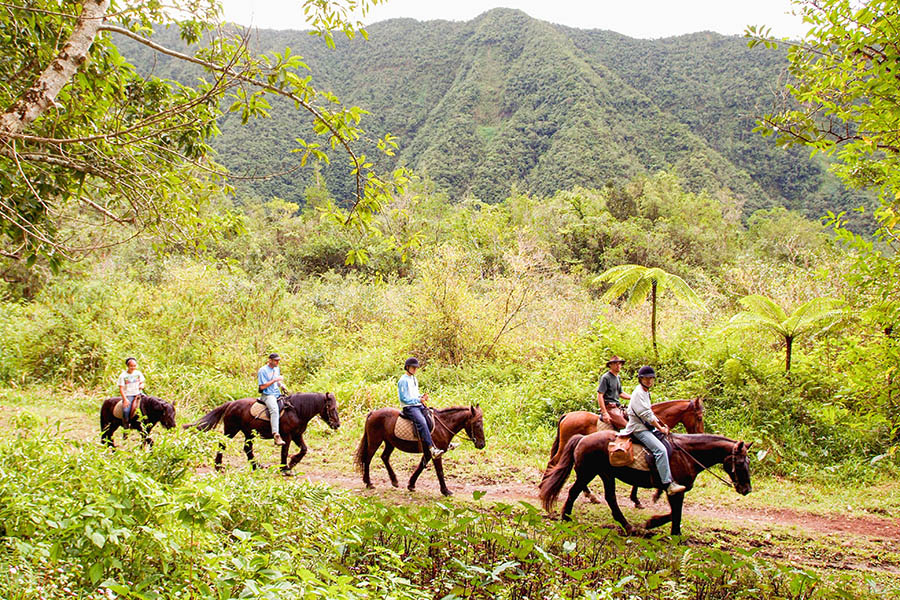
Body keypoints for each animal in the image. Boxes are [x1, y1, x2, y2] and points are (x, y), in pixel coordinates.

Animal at [189, 394, 342, 474]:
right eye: (331, 408)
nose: (337, 424)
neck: (297, 411)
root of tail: (231, 404)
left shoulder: (297, 435)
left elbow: (304, 449)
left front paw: (292, 463)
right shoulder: (287, 436)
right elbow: (284, 451)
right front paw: (284, 468)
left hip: (249, 433)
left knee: (247, 448)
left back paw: (257, 466)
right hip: (231, 430)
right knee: (222, 444)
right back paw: (218, 466)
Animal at [356, 406, 488, 500]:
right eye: (477, 424)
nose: (482, 444)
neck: (443, 426)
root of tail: (373, 413)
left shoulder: (429, 453)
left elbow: (421, 466)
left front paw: (411, 485)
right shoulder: (436, 454)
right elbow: (440, 472)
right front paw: (446, 491)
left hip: (390, 442)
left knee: (384, 457)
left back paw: (394, 481)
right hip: (375, 441)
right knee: (367, 459)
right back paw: (368, 483)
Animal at [540, 432, 752, 536]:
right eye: (742, 463)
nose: (747, 489)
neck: (687, 454)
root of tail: (583, 438)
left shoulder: (676, 491)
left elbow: (675, 513)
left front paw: (653, 523)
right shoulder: (675, 490)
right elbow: (676, 513)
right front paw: (672, 533)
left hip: (605, 474)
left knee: (610, 498)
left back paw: (628, 527)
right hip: (588, 473)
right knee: (574, 492)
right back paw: (566, 517)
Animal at [544, 398, 708, 506]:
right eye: (699, 417)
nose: (700, 434)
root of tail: (567, 415)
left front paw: (637, 498)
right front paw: (640, 498)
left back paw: (590, 495)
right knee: (554, 462)